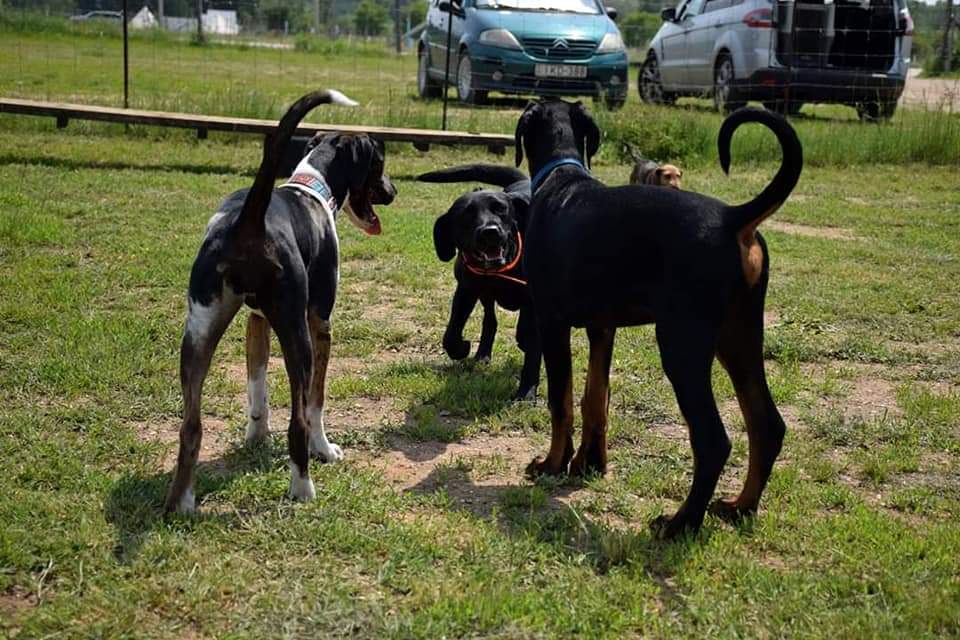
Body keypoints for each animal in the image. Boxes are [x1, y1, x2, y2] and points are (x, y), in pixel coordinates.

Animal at [164, 90, 397, 513]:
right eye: (380, 164)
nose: (393, 191)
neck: (311, 187)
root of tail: (248, 221)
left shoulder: (256, 322)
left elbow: (257, 389)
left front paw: (256, 437)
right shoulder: (320, 324)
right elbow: (315, 402)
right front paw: (325, 449)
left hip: (198, 335)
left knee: (190, 426)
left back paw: (181, 502)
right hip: (296, 335)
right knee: (299, 420)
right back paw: (302, 487)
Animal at [418, 164, 540, 401]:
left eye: (500, 208)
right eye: (466, 214)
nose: (490, 231)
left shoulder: (535, 302)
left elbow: (531, 344)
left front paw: (526, 393)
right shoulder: (466, 290)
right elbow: (451, 334)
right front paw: (462, 348)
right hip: (485, 295)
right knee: (490, 321)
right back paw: (482, 354)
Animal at [514, 100, 801, 539]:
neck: (560, 177)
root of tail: (733, 217)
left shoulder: (552, 321)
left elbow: (560, 401)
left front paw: (552, 464)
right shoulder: (603, 328)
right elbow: (596, 398)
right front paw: (589, 464)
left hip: (681, 343)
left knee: (713, 440)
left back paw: (680, 523)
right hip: (739, 337)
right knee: (766, 423)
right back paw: (740, 507)